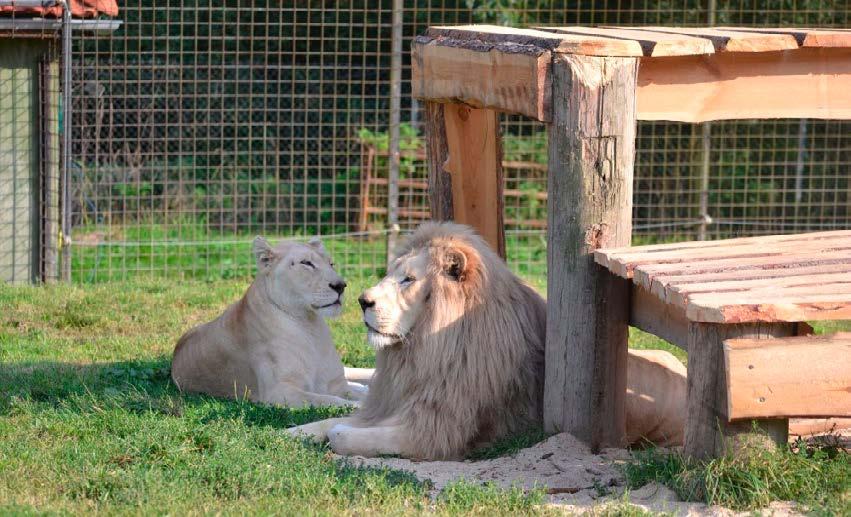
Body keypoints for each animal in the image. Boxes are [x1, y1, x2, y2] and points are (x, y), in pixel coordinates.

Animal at [172, 235, 366, 408]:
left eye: (331, 264)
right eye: (306, 263)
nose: (341, 286)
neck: (309, 325)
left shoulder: (336, 384)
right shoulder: (279, 392)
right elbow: (326, 399)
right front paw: (358, 406)